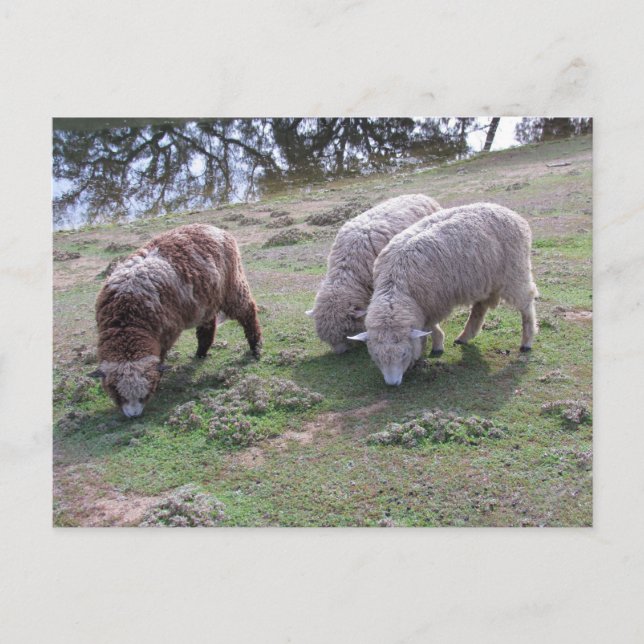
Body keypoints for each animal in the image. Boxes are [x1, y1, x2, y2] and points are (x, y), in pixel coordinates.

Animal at [90, 223, 262, 417]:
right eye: (117, 393)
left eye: (145, 395)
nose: (133, 416)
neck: (127, 319)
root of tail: (213, 228)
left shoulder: (165, 333)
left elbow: (161, 358)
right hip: (207, 300)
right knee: (208, 326)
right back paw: (201, 353)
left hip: (232, 287)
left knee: (248, 312)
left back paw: (255, 346)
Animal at [348, 203, 538, 385]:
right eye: (376, 356)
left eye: (403, 354)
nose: (392, 384)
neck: (396, 286)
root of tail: (511, 213)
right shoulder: (425, 306)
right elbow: (428, 326)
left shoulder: (434, 303)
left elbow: (430, 326)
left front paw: (435, 345)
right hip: (485, 279)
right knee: (480, 307)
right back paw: (465, 336)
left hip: (514, 270)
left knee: (526, 302)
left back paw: (527, 341)